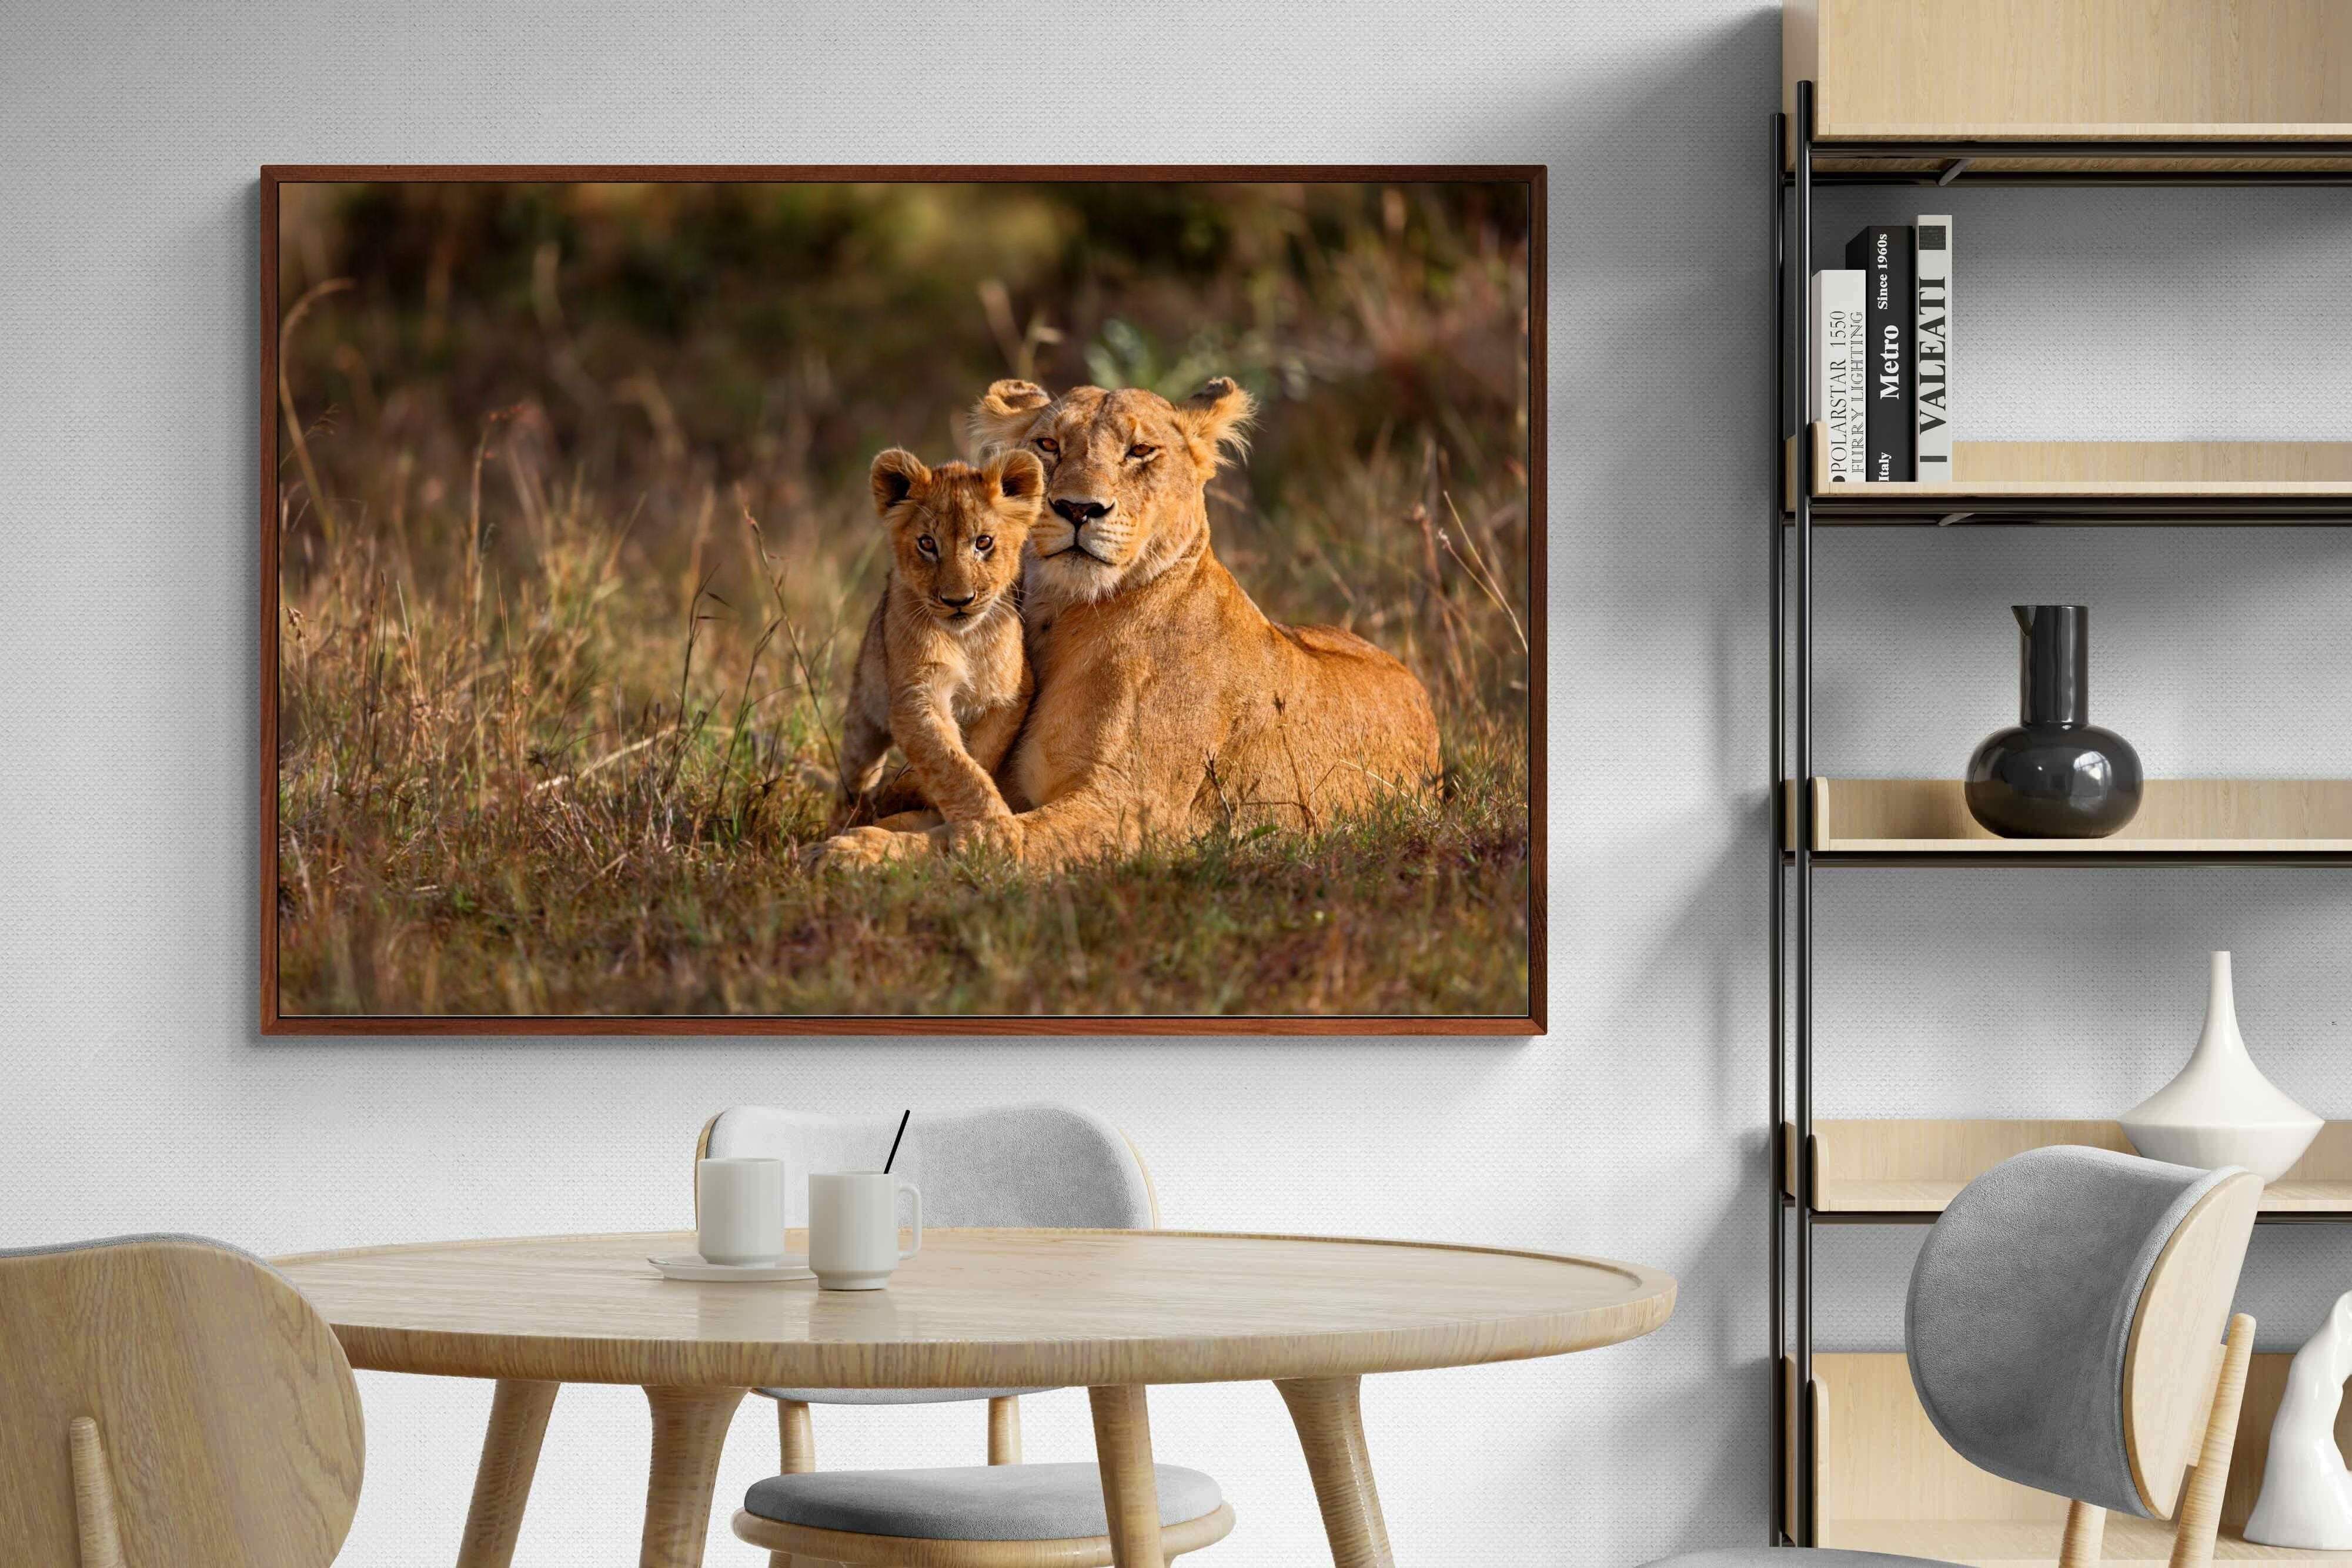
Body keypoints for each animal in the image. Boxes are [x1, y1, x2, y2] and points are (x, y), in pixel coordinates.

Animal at [832, 446, 1044, 830]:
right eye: (927, 544)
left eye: (983, 542)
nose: (958, 600)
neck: (966, 640)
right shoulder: (916, 698)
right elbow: (952, 765)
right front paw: (993, 830)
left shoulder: (1011, 695)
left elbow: (978, 757)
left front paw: (907, 791)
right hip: (862, 716)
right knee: (855, 777)